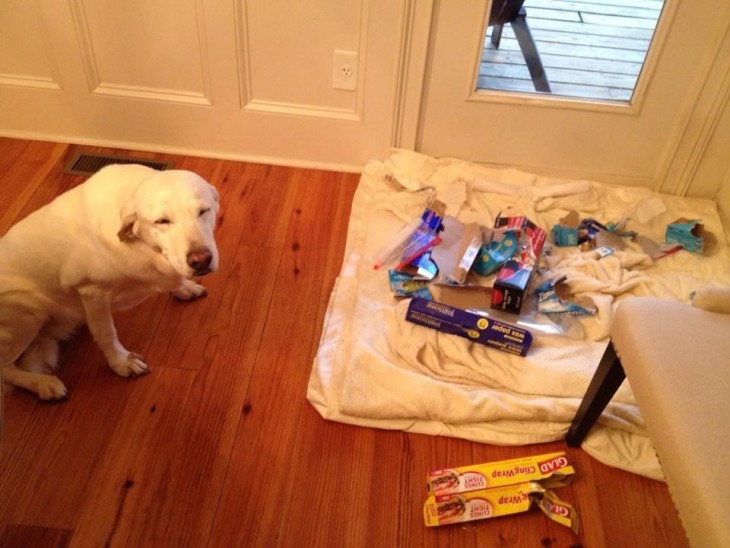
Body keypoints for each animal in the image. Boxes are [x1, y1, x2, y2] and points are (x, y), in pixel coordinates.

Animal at [0, 165, 219, 400]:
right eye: (162, 221)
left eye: (203, 211)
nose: (201, 260)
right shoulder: (92, 293)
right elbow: (107, 333)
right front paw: (121, 362)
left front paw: (184, 287)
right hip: (28, 312)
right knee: (5, 368)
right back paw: (42, 383)